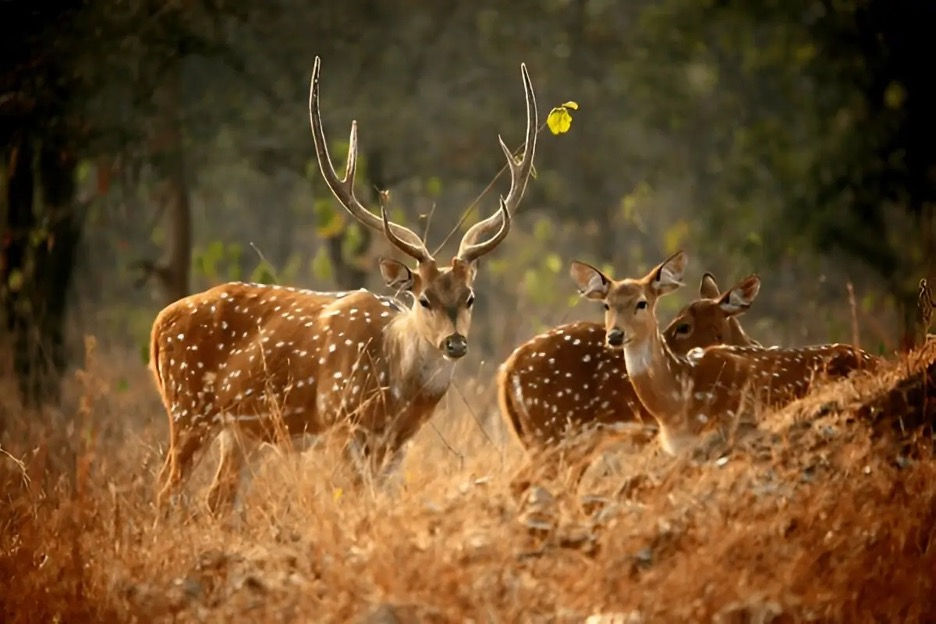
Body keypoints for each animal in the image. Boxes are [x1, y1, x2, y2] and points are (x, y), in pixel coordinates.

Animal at [151, 56, 537, 511]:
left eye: (470, 297)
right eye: (423, 299)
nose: (455, 343)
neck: (396, 393)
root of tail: (159, 323)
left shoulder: (396, 444)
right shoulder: (339, 421)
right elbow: (354, 498)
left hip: (243, 430)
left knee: (217, 498)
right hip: (187, 406)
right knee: (167, 488)